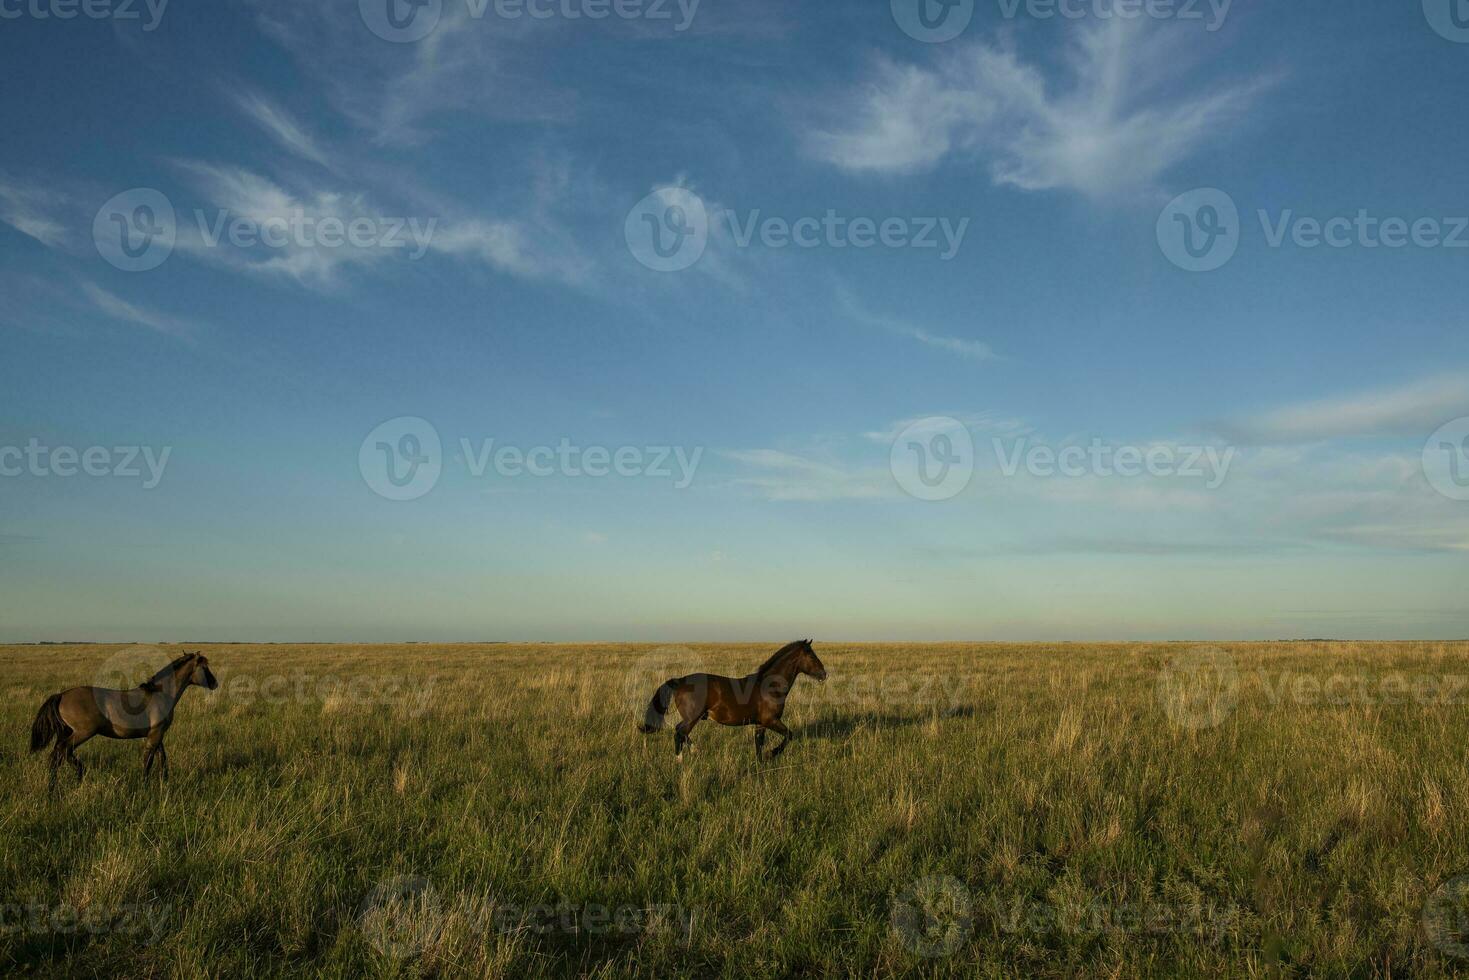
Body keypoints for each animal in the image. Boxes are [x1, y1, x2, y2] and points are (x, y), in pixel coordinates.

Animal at [27, 646, 217, 793]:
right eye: (205, 667)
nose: (215, 684)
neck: (160, 694)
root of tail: (62, 695)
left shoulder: (157, 734)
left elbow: (162, 758)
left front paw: (165, 781)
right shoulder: (155, 734)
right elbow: (149, 760)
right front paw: (145, 785)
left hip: (67, 733)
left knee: (61, 754)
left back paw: (73, 778)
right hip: (82, 733)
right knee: (60, 752)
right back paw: (59, 785)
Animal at [637, 640, 828, 764]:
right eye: (812, 656)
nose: (824, 674)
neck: (770, 687)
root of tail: (680, 681)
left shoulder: (760, 723)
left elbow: (758, 744)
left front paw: (760, 763)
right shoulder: (771, 720)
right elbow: (789, 735)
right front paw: (772, 754)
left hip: (692, 718)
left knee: (681, 732)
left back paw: (694, 751)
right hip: (692, 718)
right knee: (679, 733)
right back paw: (680, 760)